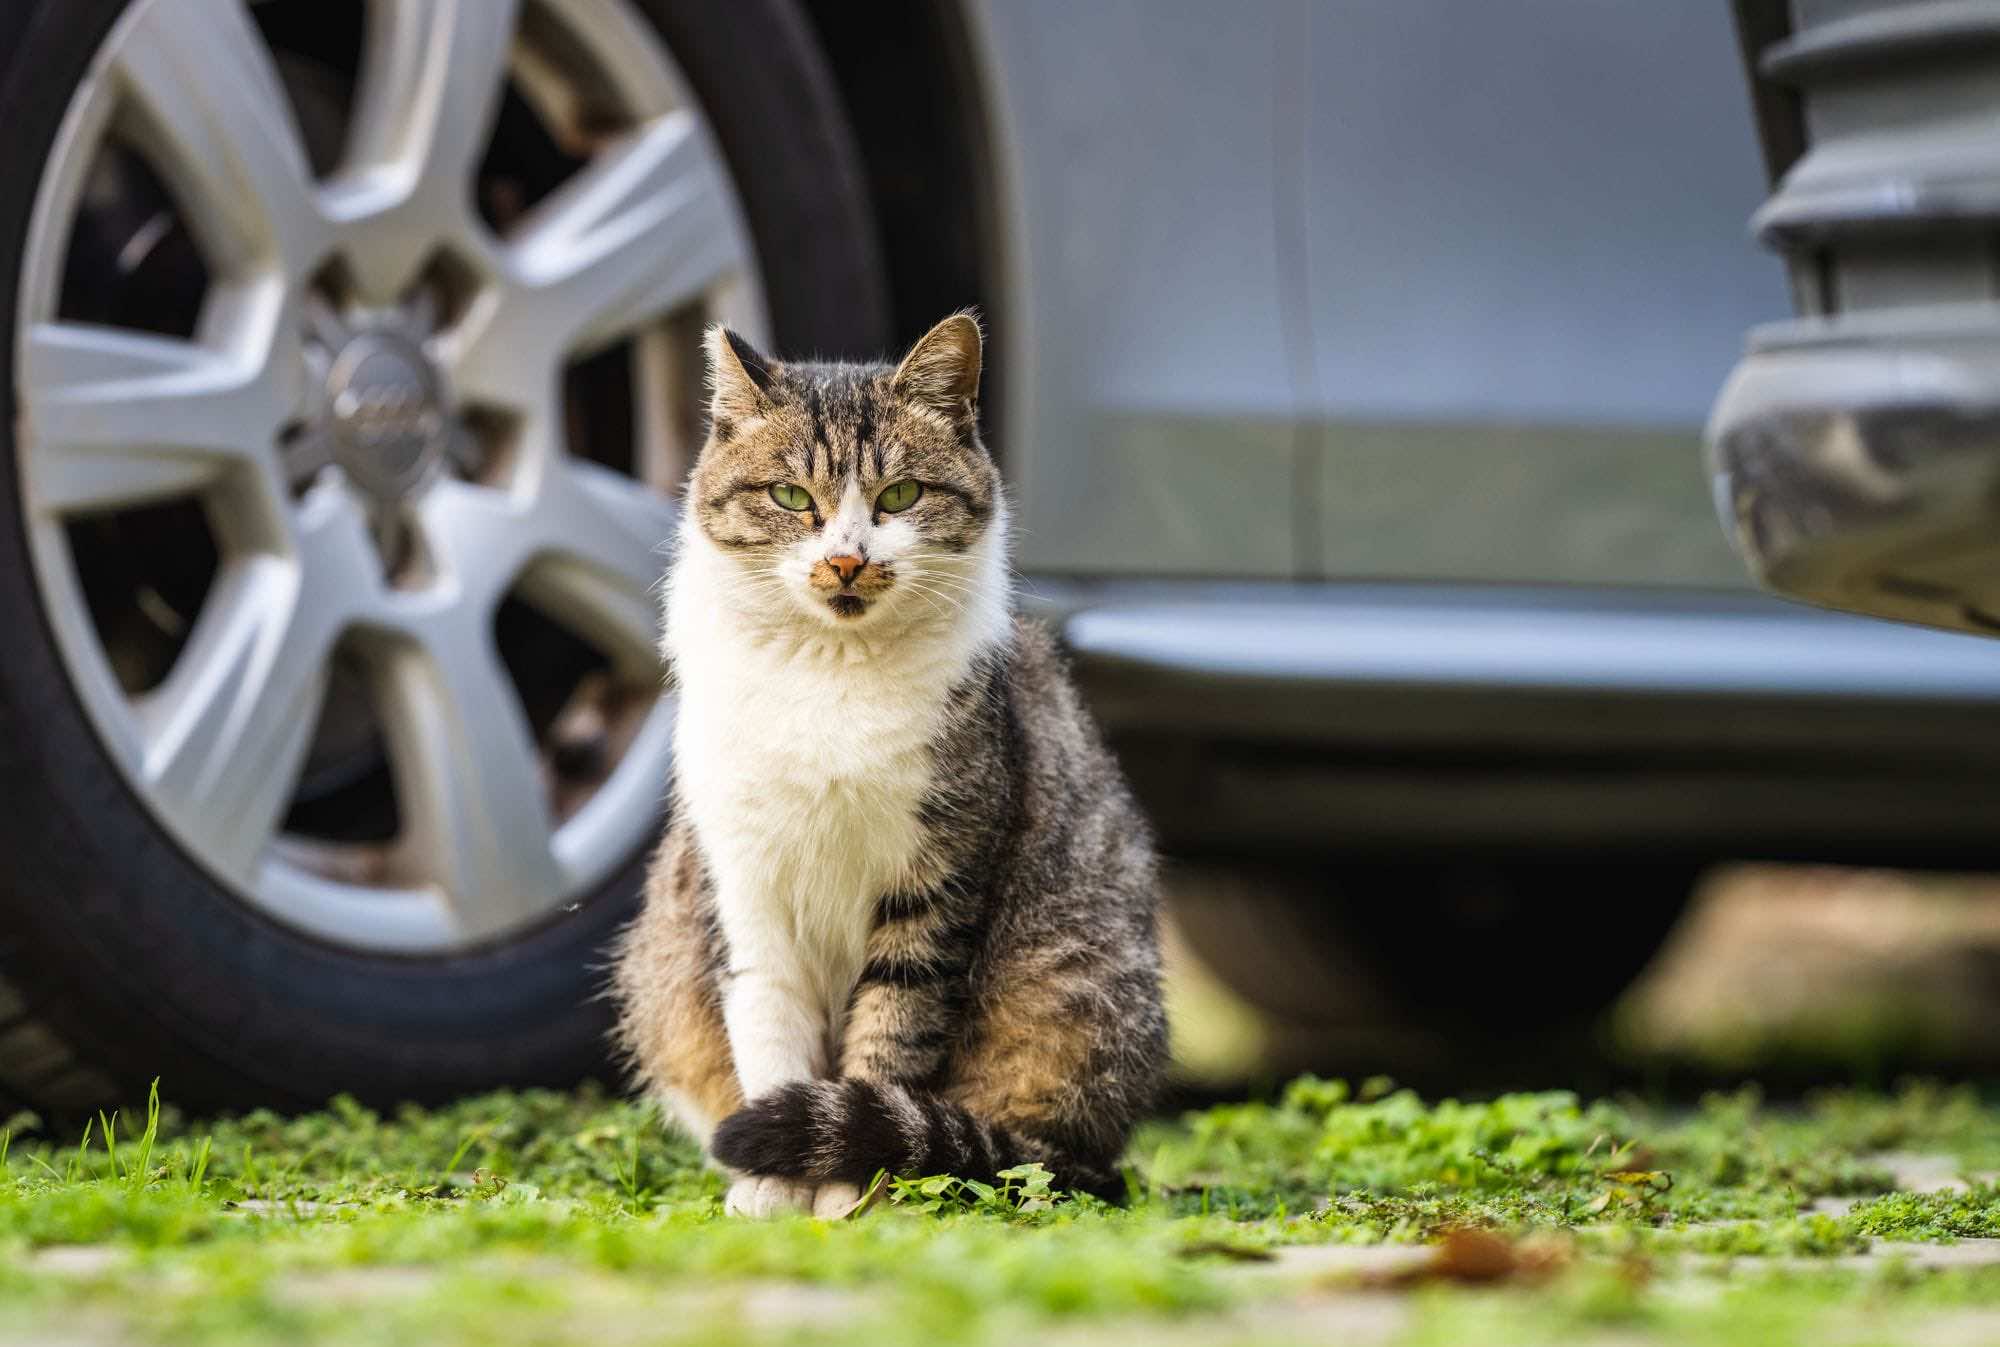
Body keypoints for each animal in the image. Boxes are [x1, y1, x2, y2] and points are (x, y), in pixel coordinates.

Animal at [616, 309, 1168, 1215]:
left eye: (900, 496)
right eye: (790, 497)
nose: (846, 559)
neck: (829, 671)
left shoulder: (937, 880)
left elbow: (889, 1038)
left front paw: (850, 1190)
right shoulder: (745, 886)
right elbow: (770, 1035)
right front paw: (775, 1186)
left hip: (1074, 1011)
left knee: (1037, 1157)